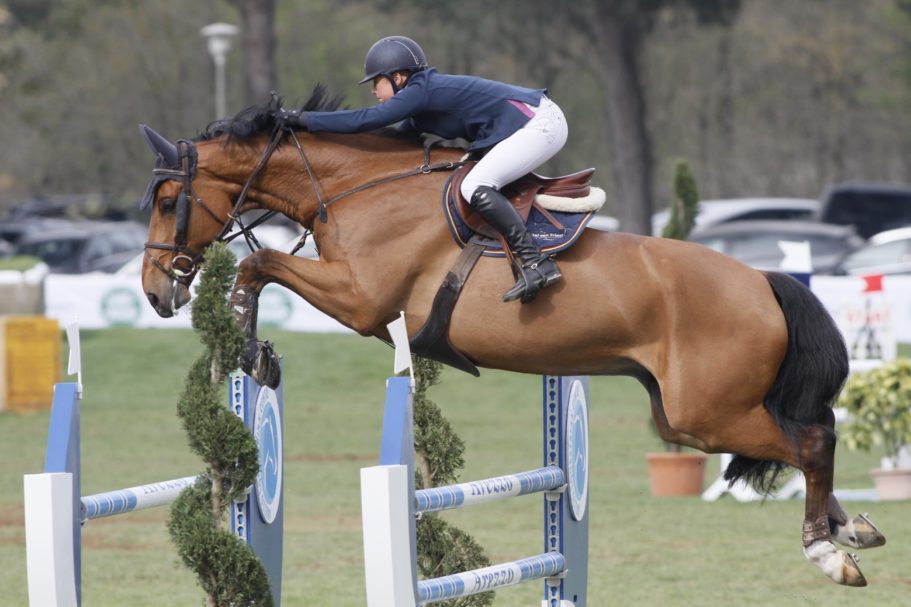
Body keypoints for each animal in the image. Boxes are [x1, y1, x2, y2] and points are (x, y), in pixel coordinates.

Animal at [138, 88, 885, 587]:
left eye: (168, 200)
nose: (154, 291)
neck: (356, 187)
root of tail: (762, 282)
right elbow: (265, 265)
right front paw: (256, 350)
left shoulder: (360, 298)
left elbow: (260, 264)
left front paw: (251, 348)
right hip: (687, 414)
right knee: (805, 437)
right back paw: (851, 527)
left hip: (704, 411)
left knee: (811, 440)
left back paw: (827, 551)